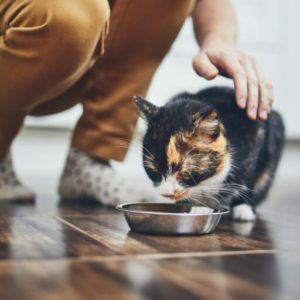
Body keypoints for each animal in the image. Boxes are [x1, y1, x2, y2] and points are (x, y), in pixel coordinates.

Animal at [135, 85, 284, 221]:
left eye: (185, 173)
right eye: (153, 171)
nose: (167, 193)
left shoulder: (256, 128)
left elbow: (250, 176)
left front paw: (244, 207)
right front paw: (196, 207)